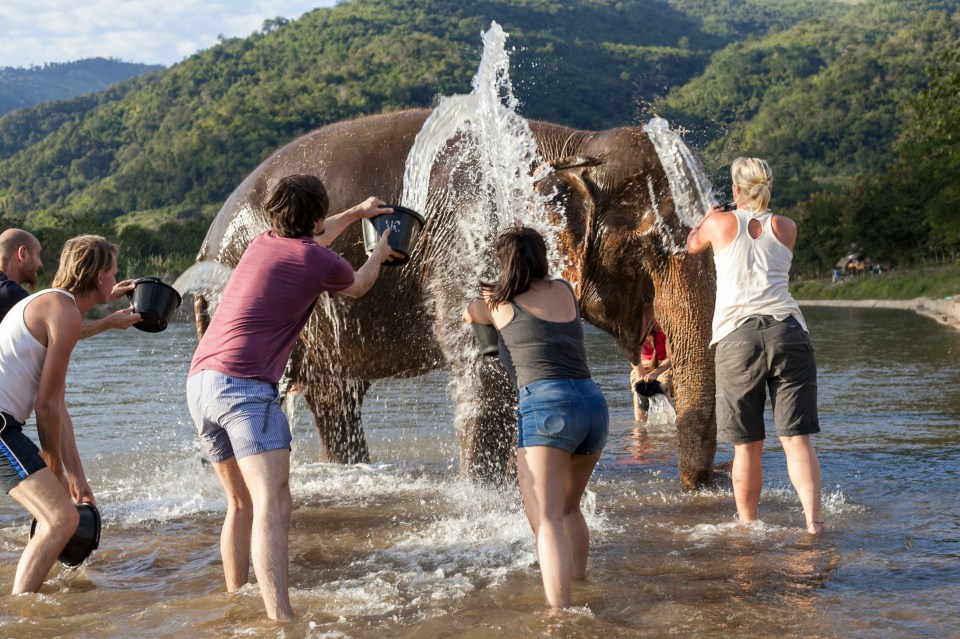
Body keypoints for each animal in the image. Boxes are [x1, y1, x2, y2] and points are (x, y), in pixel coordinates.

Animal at [195, 109, 716, 490]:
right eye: (650, 246)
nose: (695, 486)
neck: (570, 144)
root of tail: (205, 245)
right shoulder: (473, 231)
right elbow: (483, 362)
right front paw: (487, 494)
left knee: (335, 398)